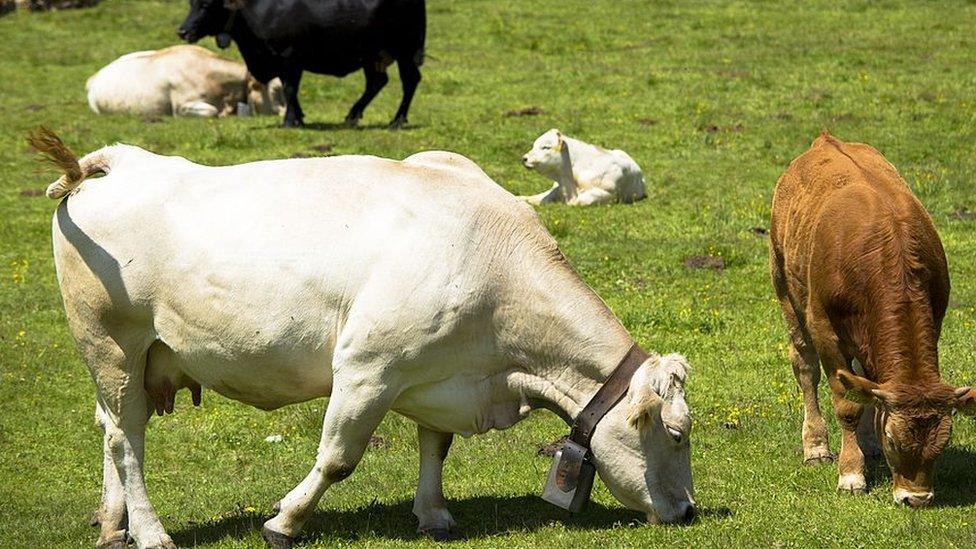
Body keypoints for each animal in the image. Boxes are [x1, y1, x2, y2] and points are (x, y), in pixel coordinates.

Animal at [179, 0, 424, 127]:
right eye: (191, 3)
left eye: (207, 5)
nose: (183, 31)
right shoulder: (281, 61)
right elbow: (290, 90)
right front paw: (298, 117)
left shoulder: (289, 57)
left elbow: (290, 88)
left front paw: (289, 121)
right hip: (373, 55)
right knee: (377, 82)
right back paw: (352, 116)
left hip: (405, 50)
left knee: (410, 81)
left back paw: (397, 120)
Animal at [520, 128, 648, 206]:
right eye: (534, 145)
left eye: (546, 147)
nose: (524, 158)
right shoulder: (559, 187)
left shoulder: (607, 193)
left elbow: (579, 201)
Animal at [772, 132, 972, 506]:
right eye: (894, 440)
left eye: (944, 443)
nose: (916, 498)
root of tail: (824, 141)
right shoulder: (825, 331)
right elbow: (847, 405)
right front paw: (851, 474)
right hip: (786, 291)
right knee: (805, 367)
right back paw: (816, 446)